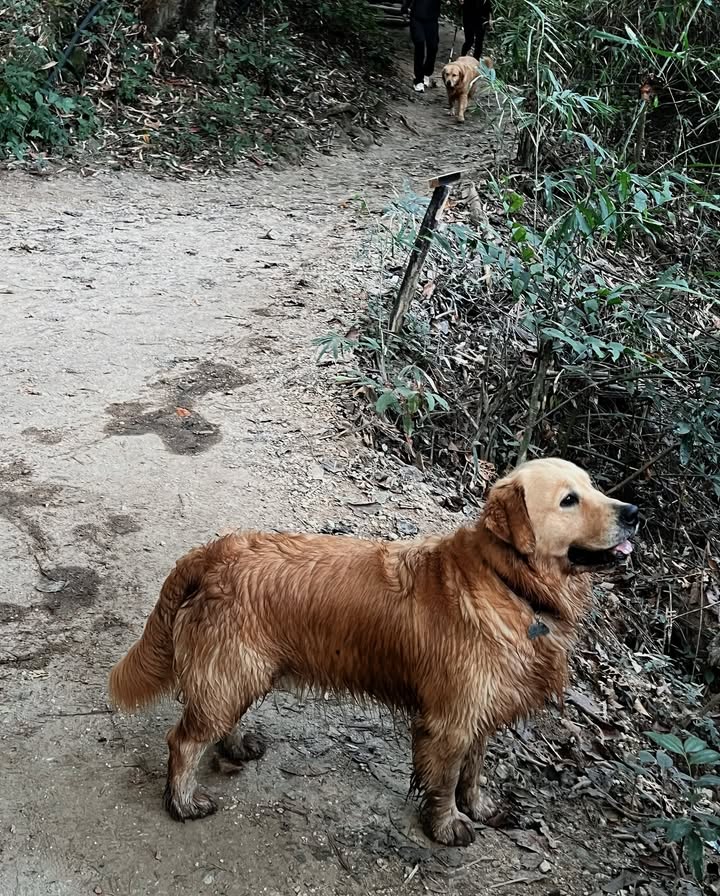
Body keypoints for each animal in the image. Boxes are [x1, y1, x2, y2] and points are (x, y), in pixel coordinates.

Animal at [109, 458, 640, 844]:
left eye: (594, 486)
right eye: (569, 500)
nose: (634, 512)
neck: (507, 581)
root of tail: (212, 553)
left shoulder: (484, 709)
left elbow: (474, 770)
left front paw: (483, 808)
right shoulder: (451, 717)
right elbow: (446, 778)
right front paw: (448, 826)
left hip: (241, 672)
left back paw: (237, 747)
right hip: (232, 670)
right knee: (183, 741)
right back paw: (183, 803)